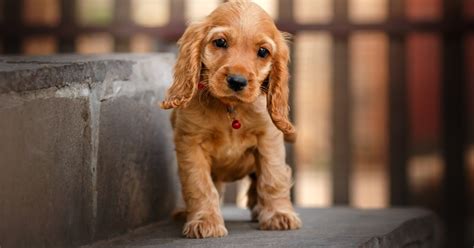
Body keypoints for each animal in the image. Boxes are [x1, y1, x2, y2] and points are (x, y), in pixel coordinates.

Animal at [159, 0, 300, 238]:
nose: (237, 81)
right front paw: (204, 221)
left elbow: (272, 177)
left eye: (263, 51)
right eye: (220, 42)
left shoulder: (268, 138)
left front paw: (279, 215)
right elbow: (199, 185)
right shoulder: (190, 142)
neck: (230, 109)